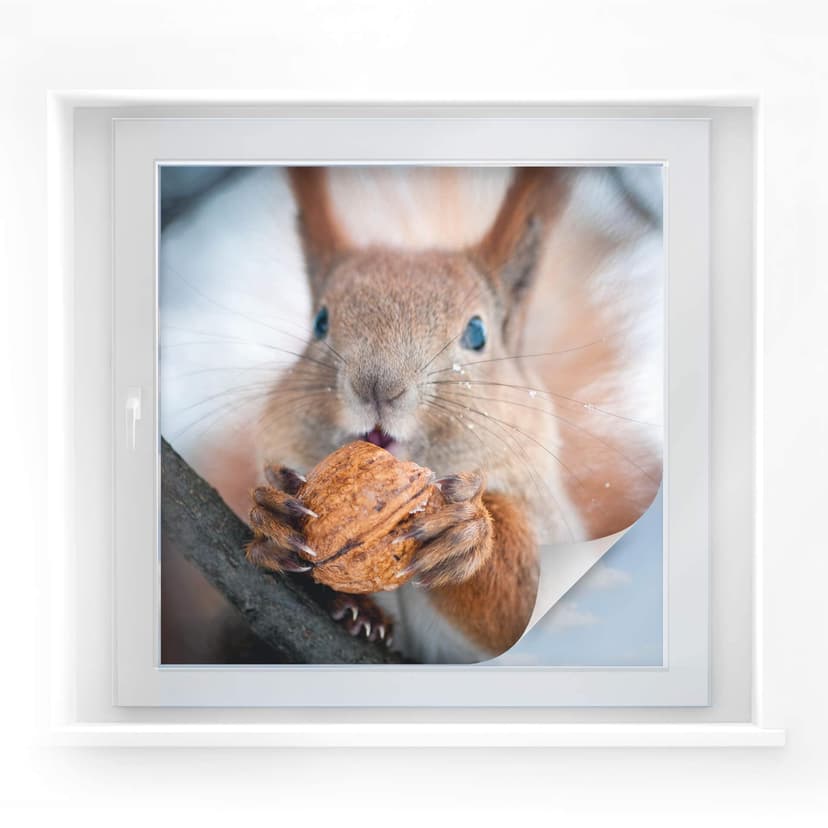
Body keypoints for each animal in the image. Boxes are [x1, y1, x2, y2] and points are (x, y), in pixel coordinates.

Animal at [243, 167, 662, 664]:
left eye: (477, 333)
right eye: (319, 323)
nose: (377, 386)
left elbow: (515, 608)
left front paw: (466, 533)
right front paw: (273, 519)